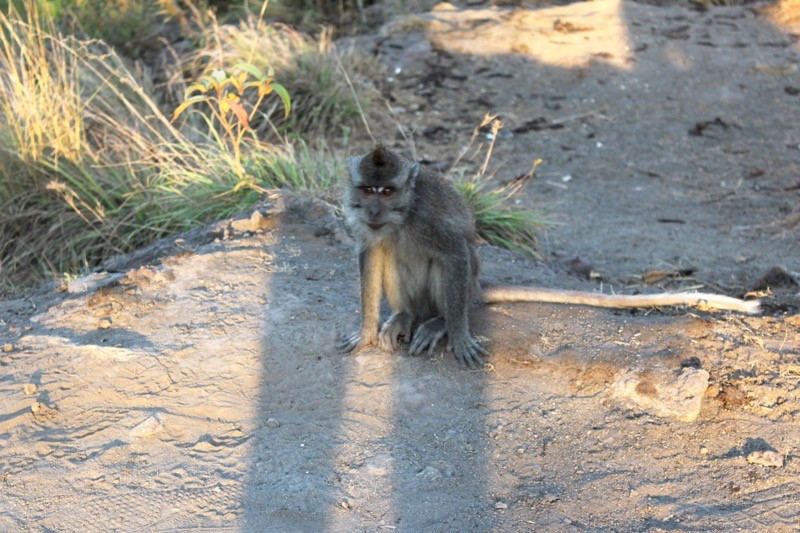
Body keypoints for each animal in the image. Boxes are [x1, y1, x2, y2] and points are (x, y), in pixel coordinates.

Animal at [340, 145, 760, 369]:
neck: (402, 215)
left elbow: (455, 252)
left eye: (387, 190)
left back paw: (437, 321)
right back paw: (406, 315)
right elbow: (370, 253)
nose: (374, 210)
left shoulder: (428, 218)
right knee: (387, 253)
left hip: (464, 285)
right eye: (367, 189)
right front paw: (365, 331)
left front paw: (456, 333)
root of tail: (477, 288)